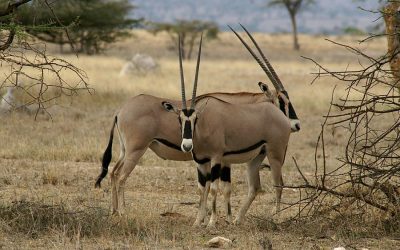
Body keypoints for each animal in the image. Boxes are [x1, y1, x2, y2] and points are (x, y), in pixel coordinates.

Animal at [161, 25, 298, 227]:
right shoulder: (201, 162)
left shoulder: (218, 159)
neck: (202, 128)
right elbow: (202, 189)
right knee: (255, 186)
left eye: (195, 118)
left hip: (276, 154)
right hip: (257, 157)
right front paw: (199, 222)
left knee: (278, 184)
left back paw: (275, 218)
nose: (186, 145)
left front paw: (212, 222)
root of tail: (280, 118)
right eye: (180, 118)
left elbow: (215, 188)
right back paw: (238, 219)